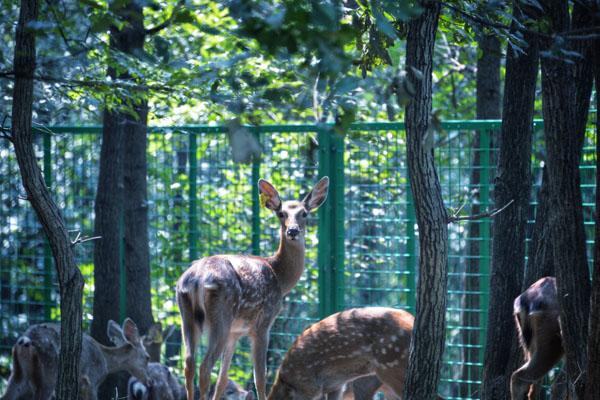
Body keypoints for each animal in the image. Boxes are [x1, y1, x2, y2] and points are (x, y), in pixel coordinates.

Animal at [0, 318, 150, 400]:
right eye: (147, 358)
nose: (149, 380)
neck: (106, 363)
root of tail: (26, 339)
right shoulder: (91, 380)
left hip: (18, 373)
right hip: (48, 372)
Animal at [176, 177, 330, 400]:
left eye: (304, 213)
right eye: (281, 213)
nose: (292, 231)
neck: (280, 276)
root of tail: (196, 278)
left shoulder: (236, 332)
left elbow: (223, 380)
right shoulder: (263, 322)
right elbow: (260, 377)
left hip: (186, 313)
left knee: (189, 364)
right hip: (221, 314)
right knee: (204, 367)